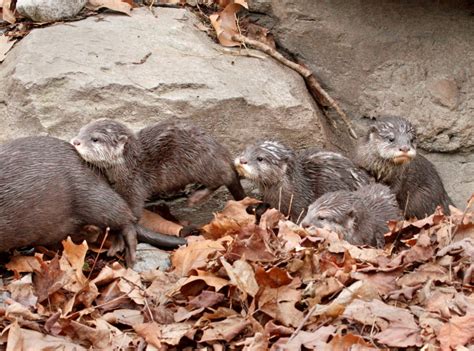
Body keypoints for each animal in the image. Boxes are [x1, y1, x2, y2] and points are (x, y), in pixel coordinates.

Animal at [72, 119, 246, 221]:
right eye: (81, 131)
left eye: (95, 139)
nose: (75, 141)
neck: (130, 165)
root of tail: (222, 152)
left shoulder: (135, 184)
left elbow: (135, 208)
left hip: (202, 164)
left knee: (224, 177)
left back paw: (196, 197)